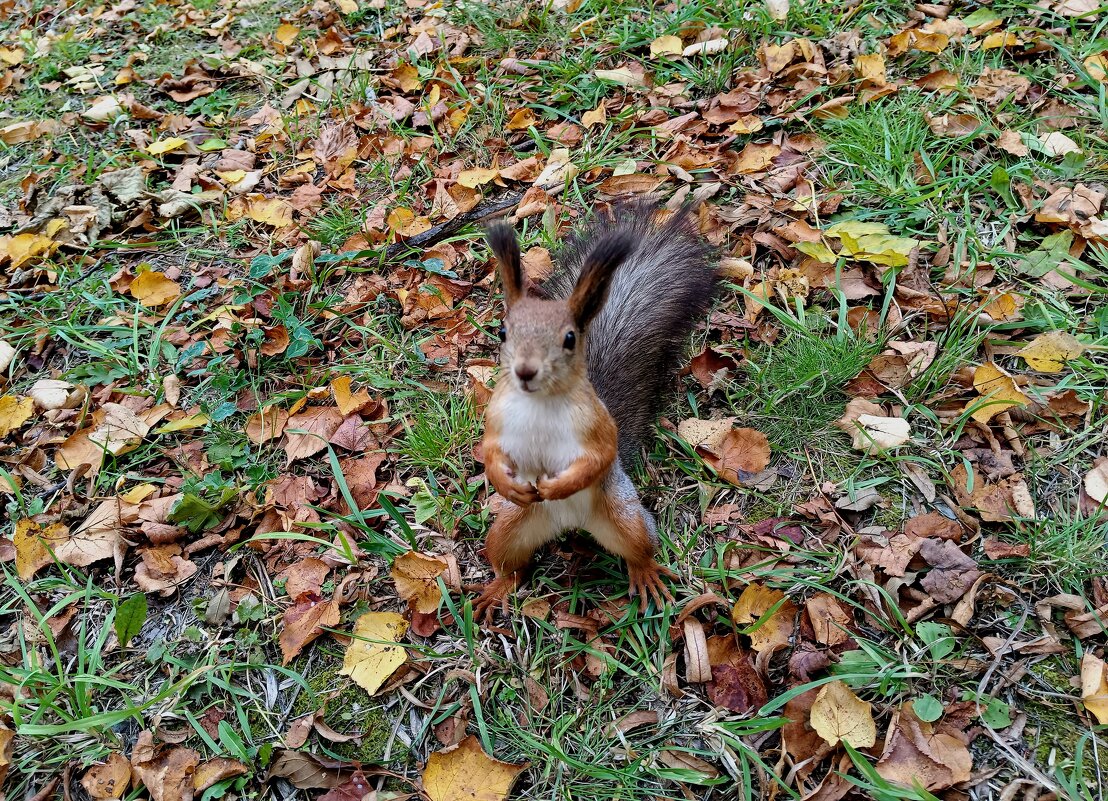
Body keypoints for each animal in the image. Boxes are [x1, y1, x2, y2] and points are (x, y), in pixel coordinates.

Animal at [469, 199, 713, 620]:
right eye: (502, 332)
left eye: (570, 338)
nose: (525, 371)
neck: (540, 403)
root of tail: (569, 523)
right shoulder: (498, 418)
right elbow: (491, 451)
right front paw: (504, 481)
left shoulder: (596, 425)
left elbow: (597, 457)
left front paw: (557, 484)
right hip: (509, 529)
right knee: (509, 563)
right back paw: (497, 588)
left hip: (624, 517)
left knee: (638, 547)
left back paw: (646, 573)